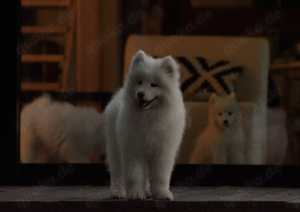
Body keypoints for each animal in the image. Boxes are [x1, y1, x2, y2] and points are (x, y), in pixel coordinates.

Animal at [104, 50, 186, 200]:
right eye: (140, 82)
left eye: (154, 84)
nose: (140, 94)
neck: (149, 115)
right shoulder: (133, 150)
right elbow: (135, 175)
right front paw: (136, 194)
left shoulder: (162, 151)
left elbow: (161, 176)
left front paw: (161, 193)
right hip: (115, 147)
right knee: (117, 171)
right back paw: (117, 192)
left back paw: (148, 191)